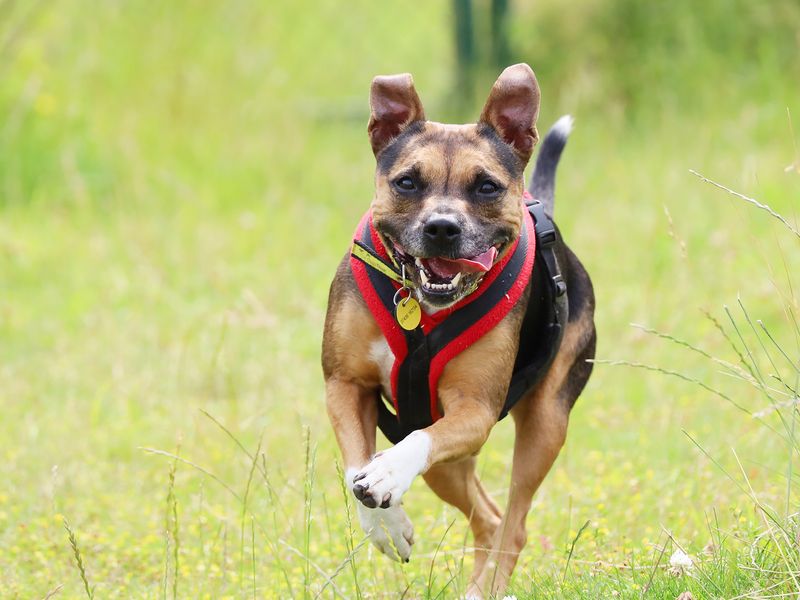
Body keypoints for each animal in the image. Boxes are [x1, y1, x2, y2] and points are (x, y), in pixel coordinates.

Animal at [324, 61, 592, 596]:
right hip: (440, 458)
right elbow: (355, 465)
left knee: (513, 525)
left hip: (546, 422)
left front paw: (387, 474)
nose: (442, 227)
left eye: (486, 186)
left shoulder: (475, 410)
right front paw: (387, 525)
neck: (423, 308)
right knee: (487, 517)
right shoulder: (344, 383)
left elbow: (409, 450)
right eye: (407, 182)